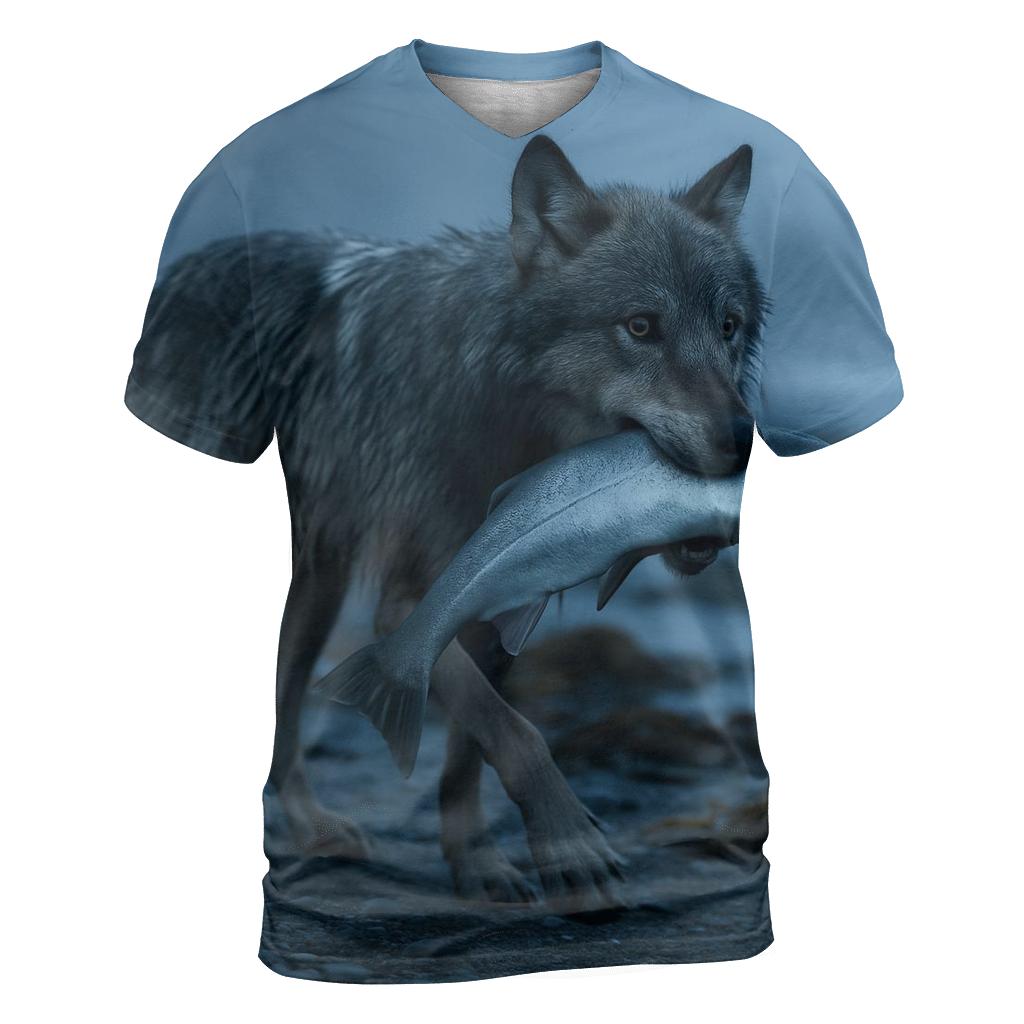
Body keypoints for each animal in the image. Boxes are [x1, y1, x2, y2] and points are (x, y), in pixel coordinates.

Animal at [135, 135, 766, 914]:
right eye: (641, 327)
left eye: (729, 327)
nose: (742, 440)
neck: (505, 415)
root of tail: (190, 262)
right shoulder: (413, 600)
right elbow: (514, 731)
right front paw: (568, 842)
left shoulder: (491, 602)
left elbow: (472, 748)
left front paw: (477, 862)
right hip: (320, 580)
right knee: (285, 709)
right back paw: (314, 828)